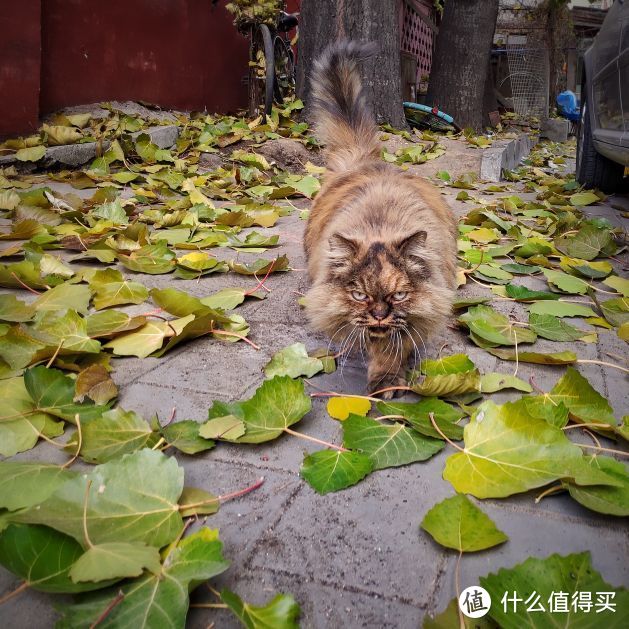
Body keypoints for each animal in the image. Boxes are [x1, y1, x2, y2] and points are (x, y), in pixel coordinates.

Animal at [300, 41, 454, 400]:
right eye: (360, 296)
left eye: (398, 296)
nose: (380, 315)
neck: (381, 226)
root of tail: (364, 160)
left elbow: (394, 346)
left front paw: (387, 380)